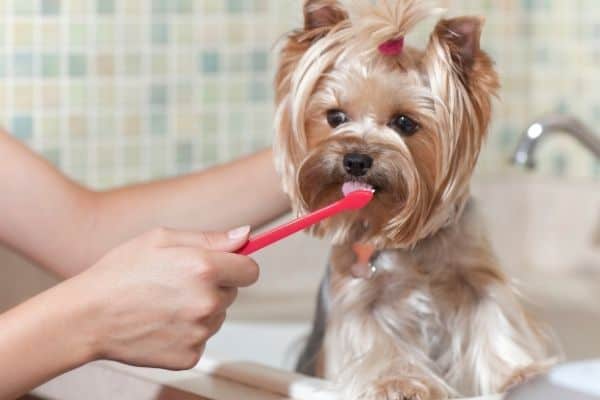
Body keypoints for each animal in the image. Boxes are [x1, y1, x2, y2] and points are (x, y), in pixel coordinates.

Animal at [274, 0, 560, 400]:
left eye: (405, 123)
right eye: (335, 117)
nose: (356, 159)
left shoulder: (477, 278)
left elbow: (495, 321)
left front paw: (520, 374)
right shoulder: (359, 297)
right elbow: (379, 343)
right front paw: (400, 383)